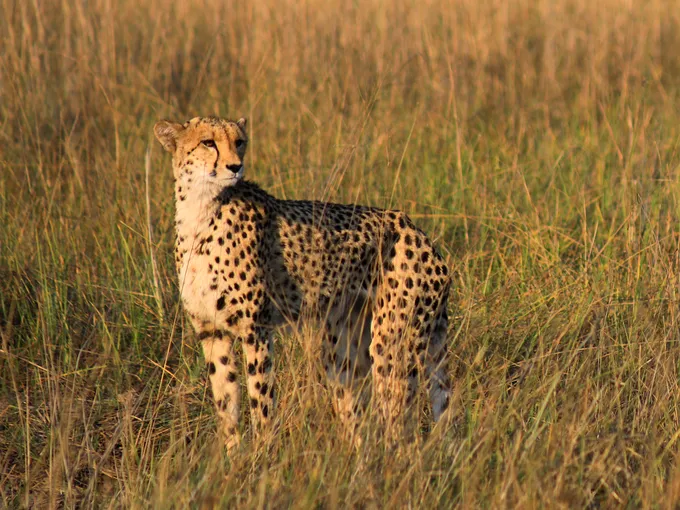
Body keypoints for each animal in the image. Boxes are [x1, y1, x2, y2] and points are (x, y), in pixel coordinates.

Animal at [154, 115, 452, 451]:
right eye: (208, 142)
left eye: (239, 141)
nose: (235, 166)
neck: (200, 207)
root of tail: (420, 232)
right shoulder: (212, 331)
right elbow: (226, 402)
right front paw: (233, 456)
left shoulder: (256, 328)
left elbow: (261, 399)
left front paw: (263, 454)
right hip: (344, 346)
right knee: (359, 409)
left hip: (392, 342)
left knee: (401, 419)